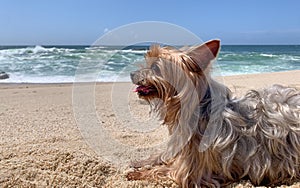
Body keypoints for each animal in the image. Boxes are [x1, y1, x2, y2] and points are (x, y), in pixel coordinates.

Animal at [127, 39, 300, 187]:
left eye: (155, 67)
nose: (131, 74)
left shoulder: (190, 172)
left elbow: (164, 171)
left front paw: (138, 174)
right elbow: (162, 155)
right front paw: (139, 162)